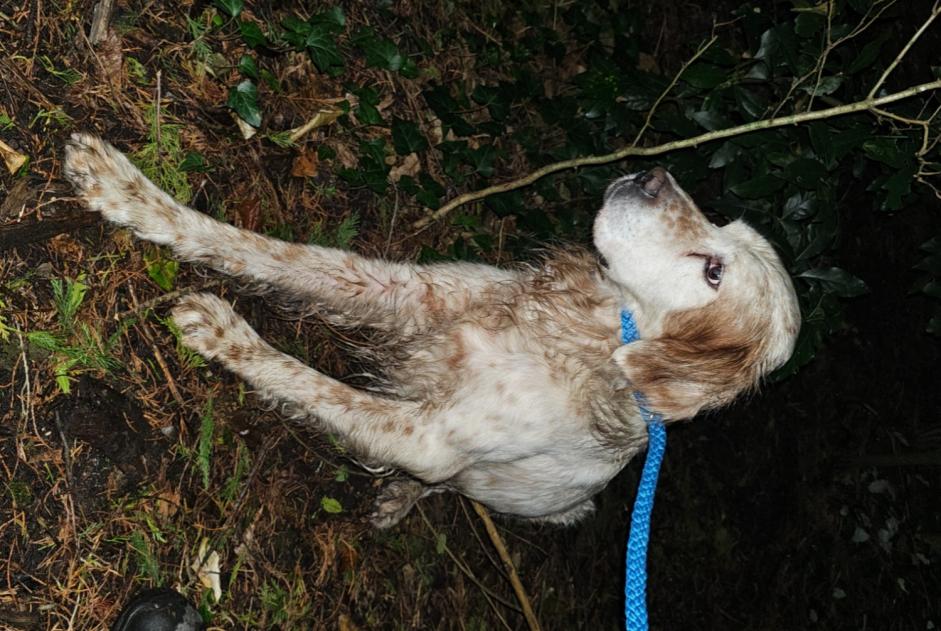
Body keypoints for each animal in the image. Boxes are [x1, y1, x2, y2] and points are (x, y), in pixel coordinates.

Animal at [62, 135, 796, 528]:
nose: (653, 174)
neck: (580, 330)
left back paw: (401, 496)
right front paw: (128, 192)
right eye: (718, 226)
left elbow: (310, 382)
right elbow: (261, 250)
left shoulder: (424, 436)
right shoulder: (406, 291)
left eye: (712, 270)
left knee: (449, 486)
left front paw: (224, 331)